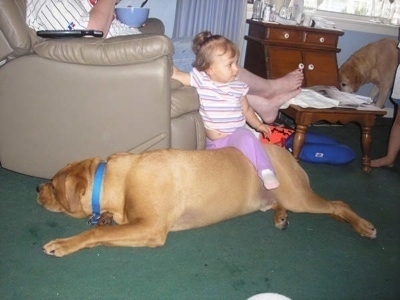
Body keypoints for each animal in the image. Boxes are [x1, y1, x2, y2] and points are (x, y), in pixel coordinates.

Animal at [36, 146, 376, 256]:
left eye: (52, 184)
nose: (37, 188)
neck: (115, 181)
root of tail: (285, 150)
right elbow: (105, 225)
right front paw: (105, 218)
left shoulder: (151, 228)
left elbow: (96, 232)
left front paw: (64, 243)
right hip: (278, 195)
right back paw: (279, 217)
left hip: (298, 196)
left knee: (338, 205)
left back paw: (363, 226)